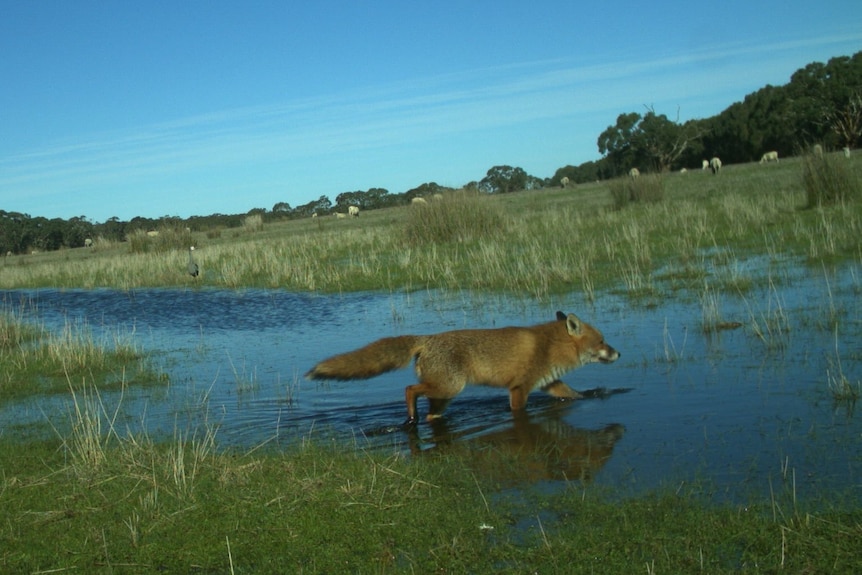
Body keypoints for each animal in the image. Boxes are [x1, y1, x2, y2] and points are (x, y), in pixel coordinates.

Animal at [305, 311, 620, 425]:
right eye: (602, 341)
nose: (619, 352)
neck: (549, 346)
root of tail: (427, 339)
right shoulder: (519, 388)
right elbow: (518, 411)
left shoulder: (550, 384)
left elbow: (575, 395)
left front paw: (599, 395)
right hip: (449, 387)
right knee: (409, 389)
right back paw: (410, 418)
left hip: (443, 397)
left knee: (428, 409)